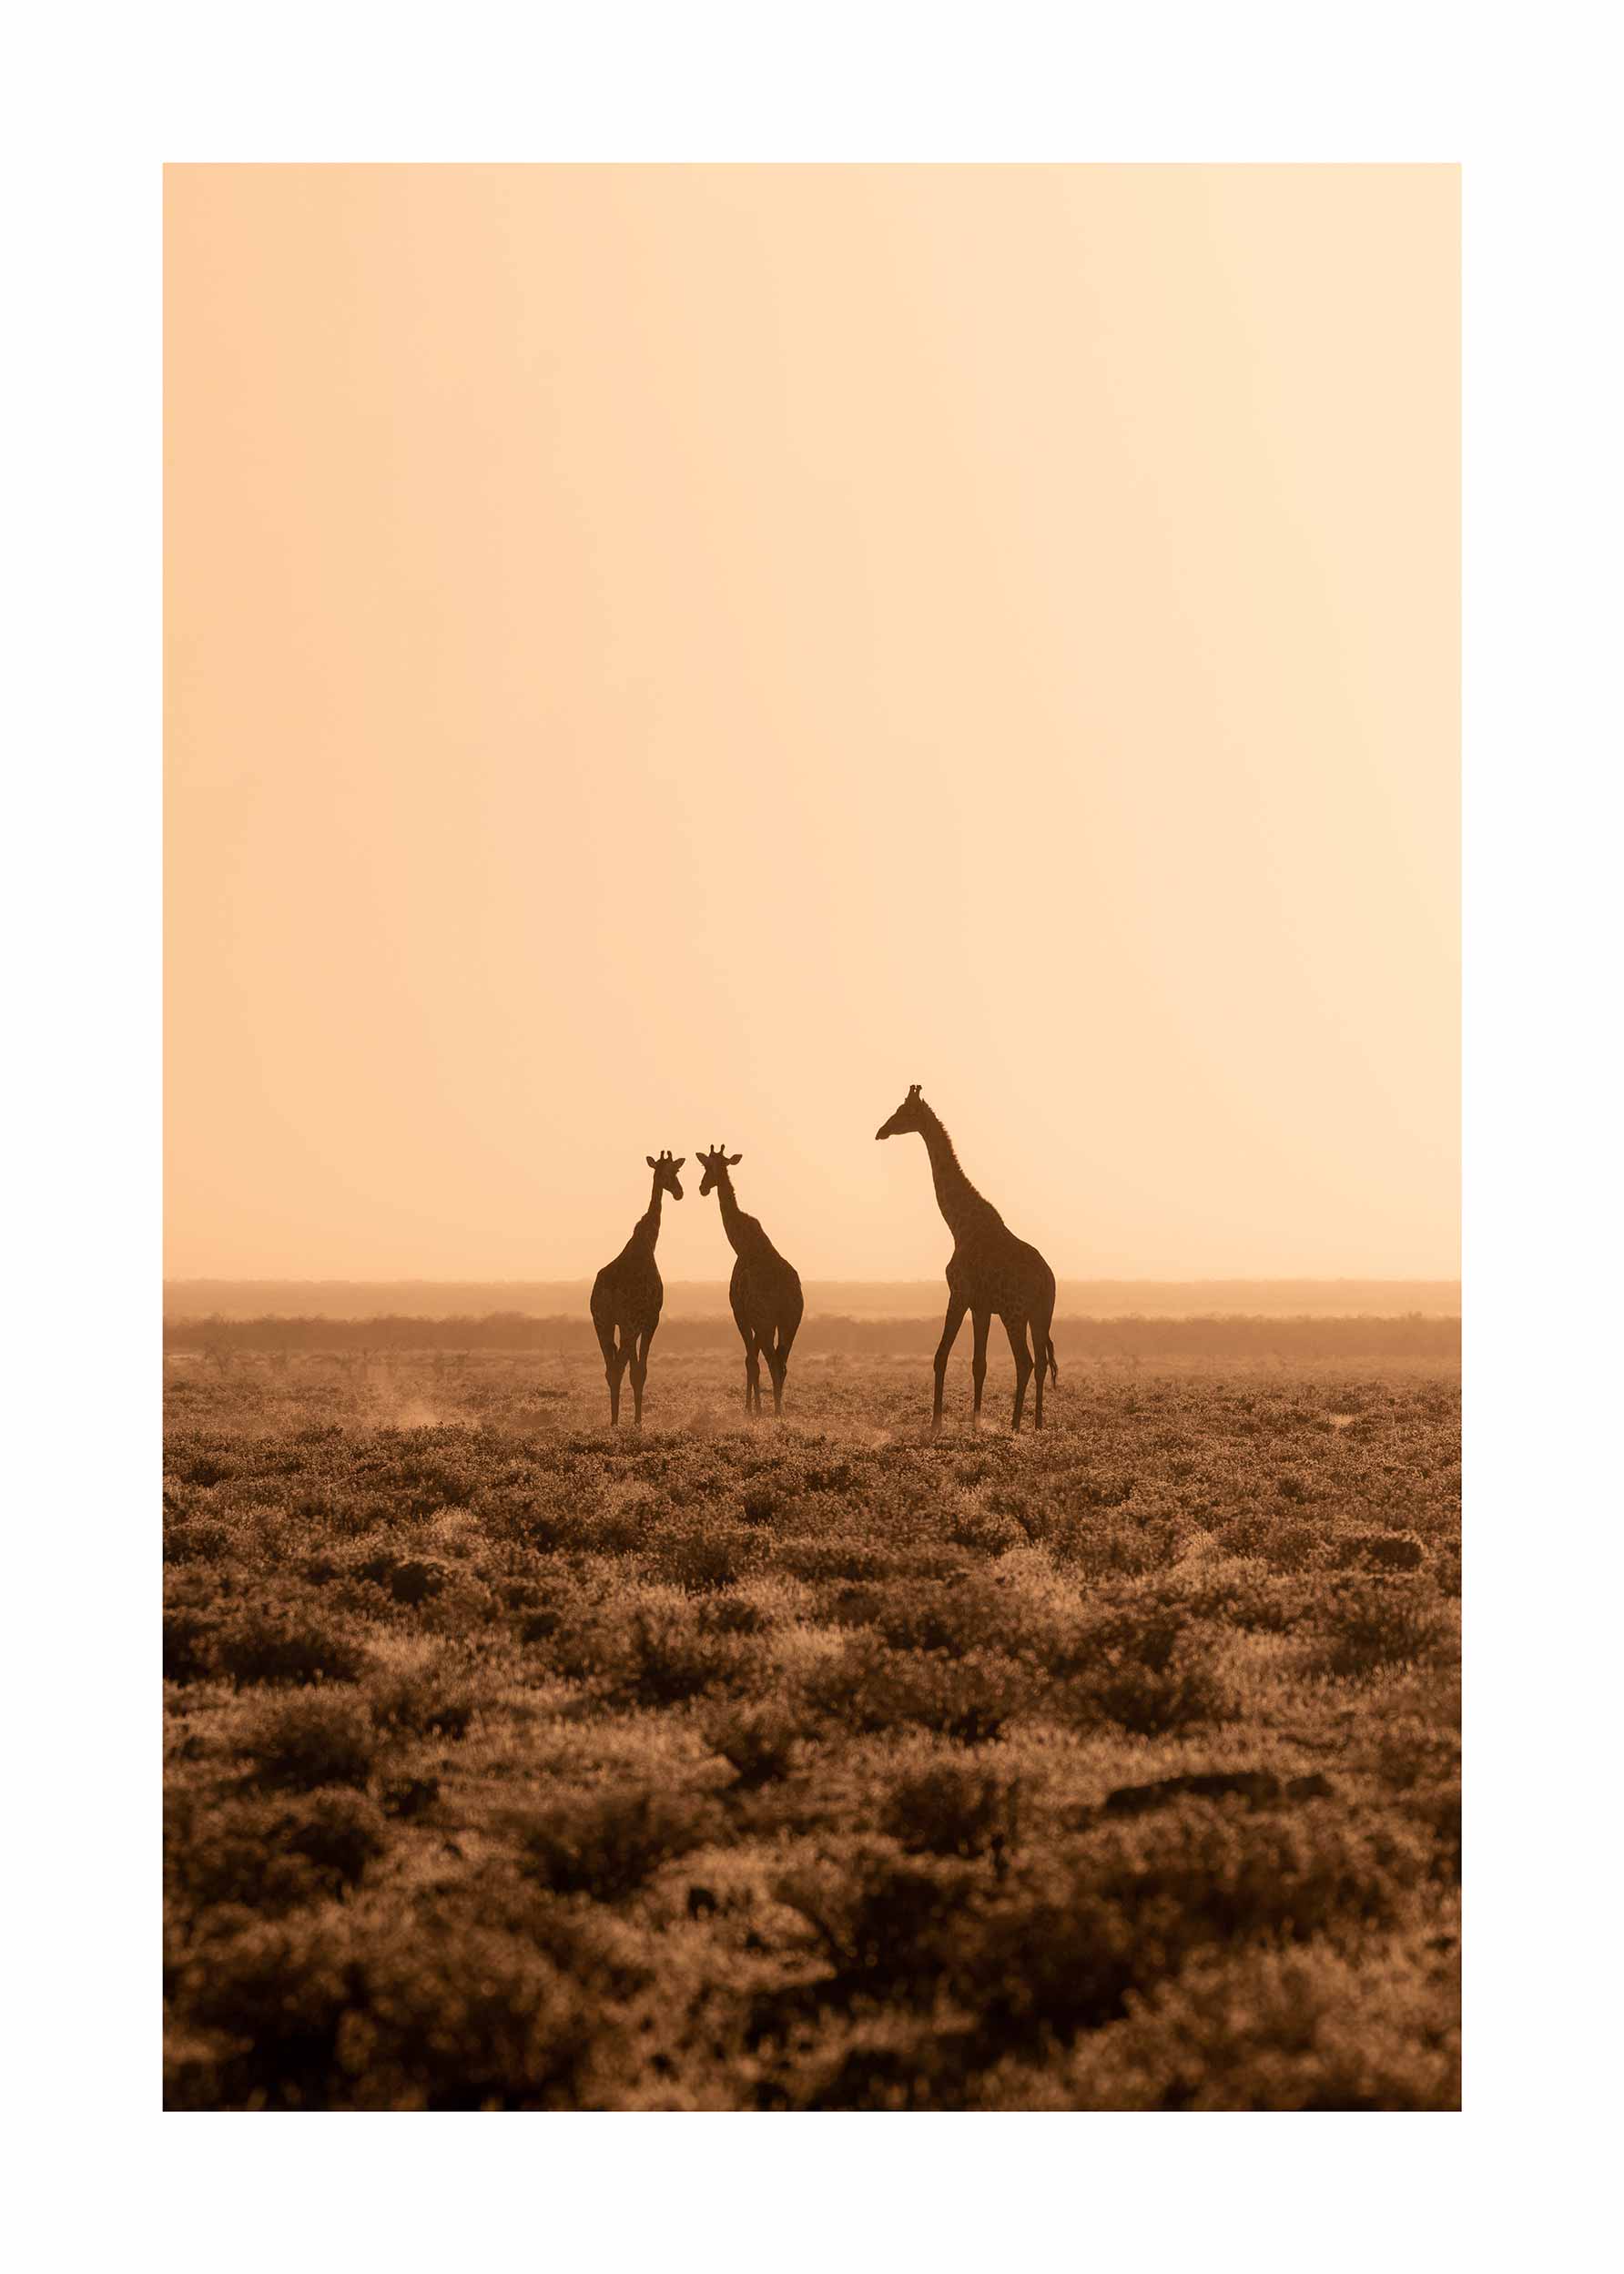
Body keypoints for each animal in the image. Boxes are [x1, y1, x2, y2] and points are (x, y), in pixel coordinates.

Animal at [589, 1152, 684, 1426]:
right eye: (671, 1172)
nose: (679, 1192)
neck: (647, 1243)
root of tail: (608, 1290)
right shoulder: (650, 1320)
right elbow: (640, 1370)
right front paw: (639, 1421)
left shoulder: (624, 1323)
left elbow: (633, 1369)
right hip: (628, 1325)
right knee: (619, 1366)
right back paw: (618, 1421)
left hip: (601, 1322)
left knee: (611, 1368)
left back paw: (613, 1420)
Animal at [695, 1146, 804, 1417]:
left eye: (707, 1167)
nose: (702, 1187)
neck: (740, 1243)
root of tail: (786, 1292)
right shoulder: (756, 1319)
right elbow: (751, 1359)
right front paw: (755, 1407)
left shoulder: (741, 1312)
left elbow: (750, 1360)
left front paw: (750, 1410)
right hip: (790, 1321)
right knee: (782, 1362)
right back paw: (779, 1409)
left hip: (767, 1322)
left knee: (772, 1361)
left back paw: (776, 1411)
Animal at [875, 1084, 1058, 1433]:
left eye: (903, 1111)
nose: (881, 1131)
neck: (958, 1226)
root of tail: (1047, 1279)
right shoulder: (981, 1306)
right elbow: (979, 1364)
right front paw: (975, 1422)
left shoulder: (959, 1294)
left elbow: (941, 1356)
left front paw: (936, 1422)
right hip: (1040, 1314)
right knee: (1042, 1362)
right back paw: (1038, 1424)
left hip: (1015, 1313)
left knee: (1025, 1362)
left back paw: (1016, 1425)